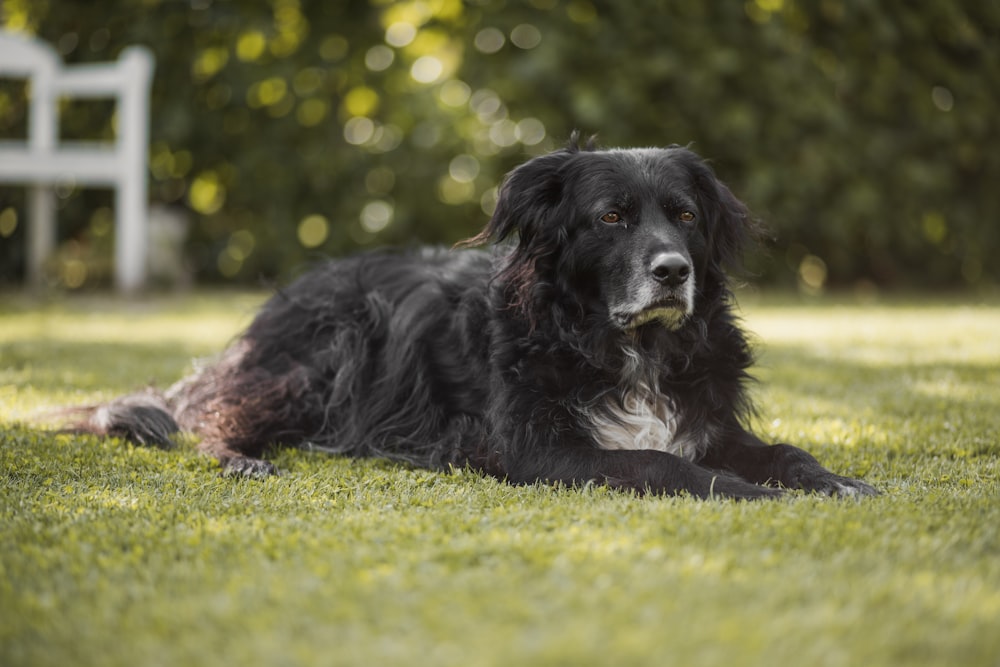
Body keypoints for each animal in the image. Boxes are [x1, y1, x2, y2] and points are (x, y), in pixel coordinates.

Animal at [78, 138, 876, 498]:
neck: (627, 344)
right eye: (611, 217)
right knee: (214, 420)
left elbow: (783, 451)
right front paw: (757, 494)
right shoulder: (537, 449)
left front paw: (834, 481)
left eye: (684, 215)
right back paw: (245, 459)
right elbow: (660, 461)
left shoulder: (708, 420)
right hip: (325, 361)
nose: (674, 271)